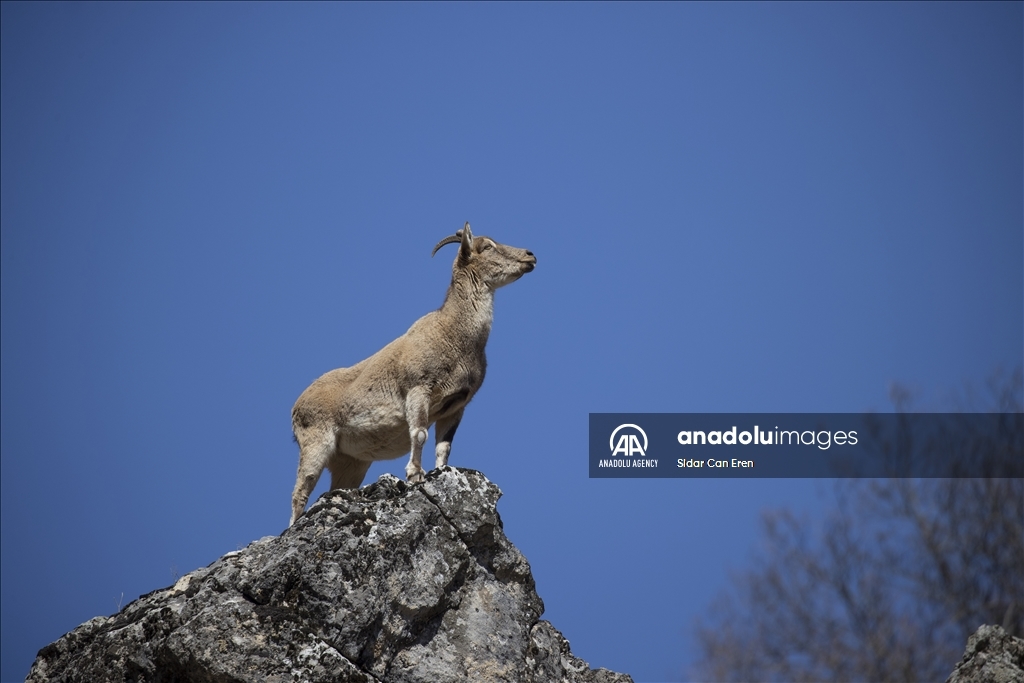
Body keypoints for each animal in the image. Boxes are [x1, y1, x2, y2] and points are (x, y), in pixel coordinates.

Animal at [288, 223, 536, 524]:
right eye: (487, 246)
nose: (529, 255)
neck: (456, 336)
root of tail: (296, 408)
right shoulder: (419, 389)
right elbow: (418, 434)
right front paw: (415, 475)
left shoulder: (457, 406)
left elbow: (443, 447)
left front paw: (440, 474)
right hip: (316, 443)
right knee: (300, 490)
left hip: (351, 462)